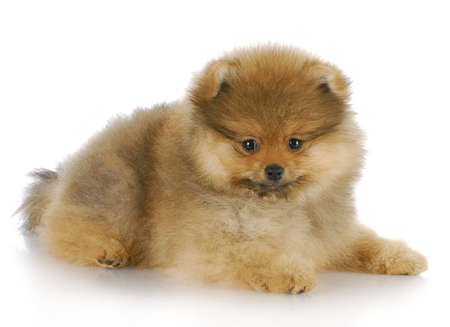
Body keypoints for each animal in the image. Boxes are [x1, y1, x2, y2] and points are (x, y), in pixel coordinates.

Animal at [20, 44, 428, 294]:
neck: (275, 204)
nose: (274, 169)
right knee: (66, 226)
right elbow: (252, 255)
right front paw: (288, 273)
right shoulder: (212, 241)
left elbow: (363, 242)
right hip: (117, 189)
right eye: (249, 144)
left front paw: (402, 256)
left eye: (295, 143)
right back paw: (106, 250)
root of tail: (66, 176)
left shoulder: (329, 231)